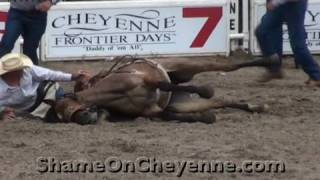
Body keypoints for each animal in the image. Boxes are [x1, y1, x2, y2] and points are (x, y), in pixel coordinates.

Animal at [56, 56, 278, 124]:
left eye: (72, 108)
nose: (83, 119)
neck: (115, 92)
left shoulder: (149, 80)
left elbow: (164, 85)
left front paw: (206, 89)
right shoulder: (153, 110)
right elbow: (167, 114)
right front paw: (206, 117)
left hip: (187, 67)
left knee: (229, 66)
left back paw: (270, 61)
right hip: (184, 102)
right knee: (221, 102)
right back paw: (256, 107)